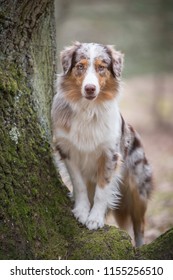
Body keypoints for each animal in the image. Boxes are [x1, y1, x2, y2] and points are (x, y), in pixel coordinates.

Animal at [51, 42, 153, 247]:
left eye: (101, 67)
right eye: (80, 66)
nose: (90, 88)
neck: (88, 110)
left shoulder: (110, 155)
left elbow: (102, 191)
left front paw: (94, 219)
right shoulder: (67, 151)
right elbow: (79, 185)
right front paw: (82, 211)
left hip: (138, 190)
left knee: (140, 225)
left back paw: (139, 248)